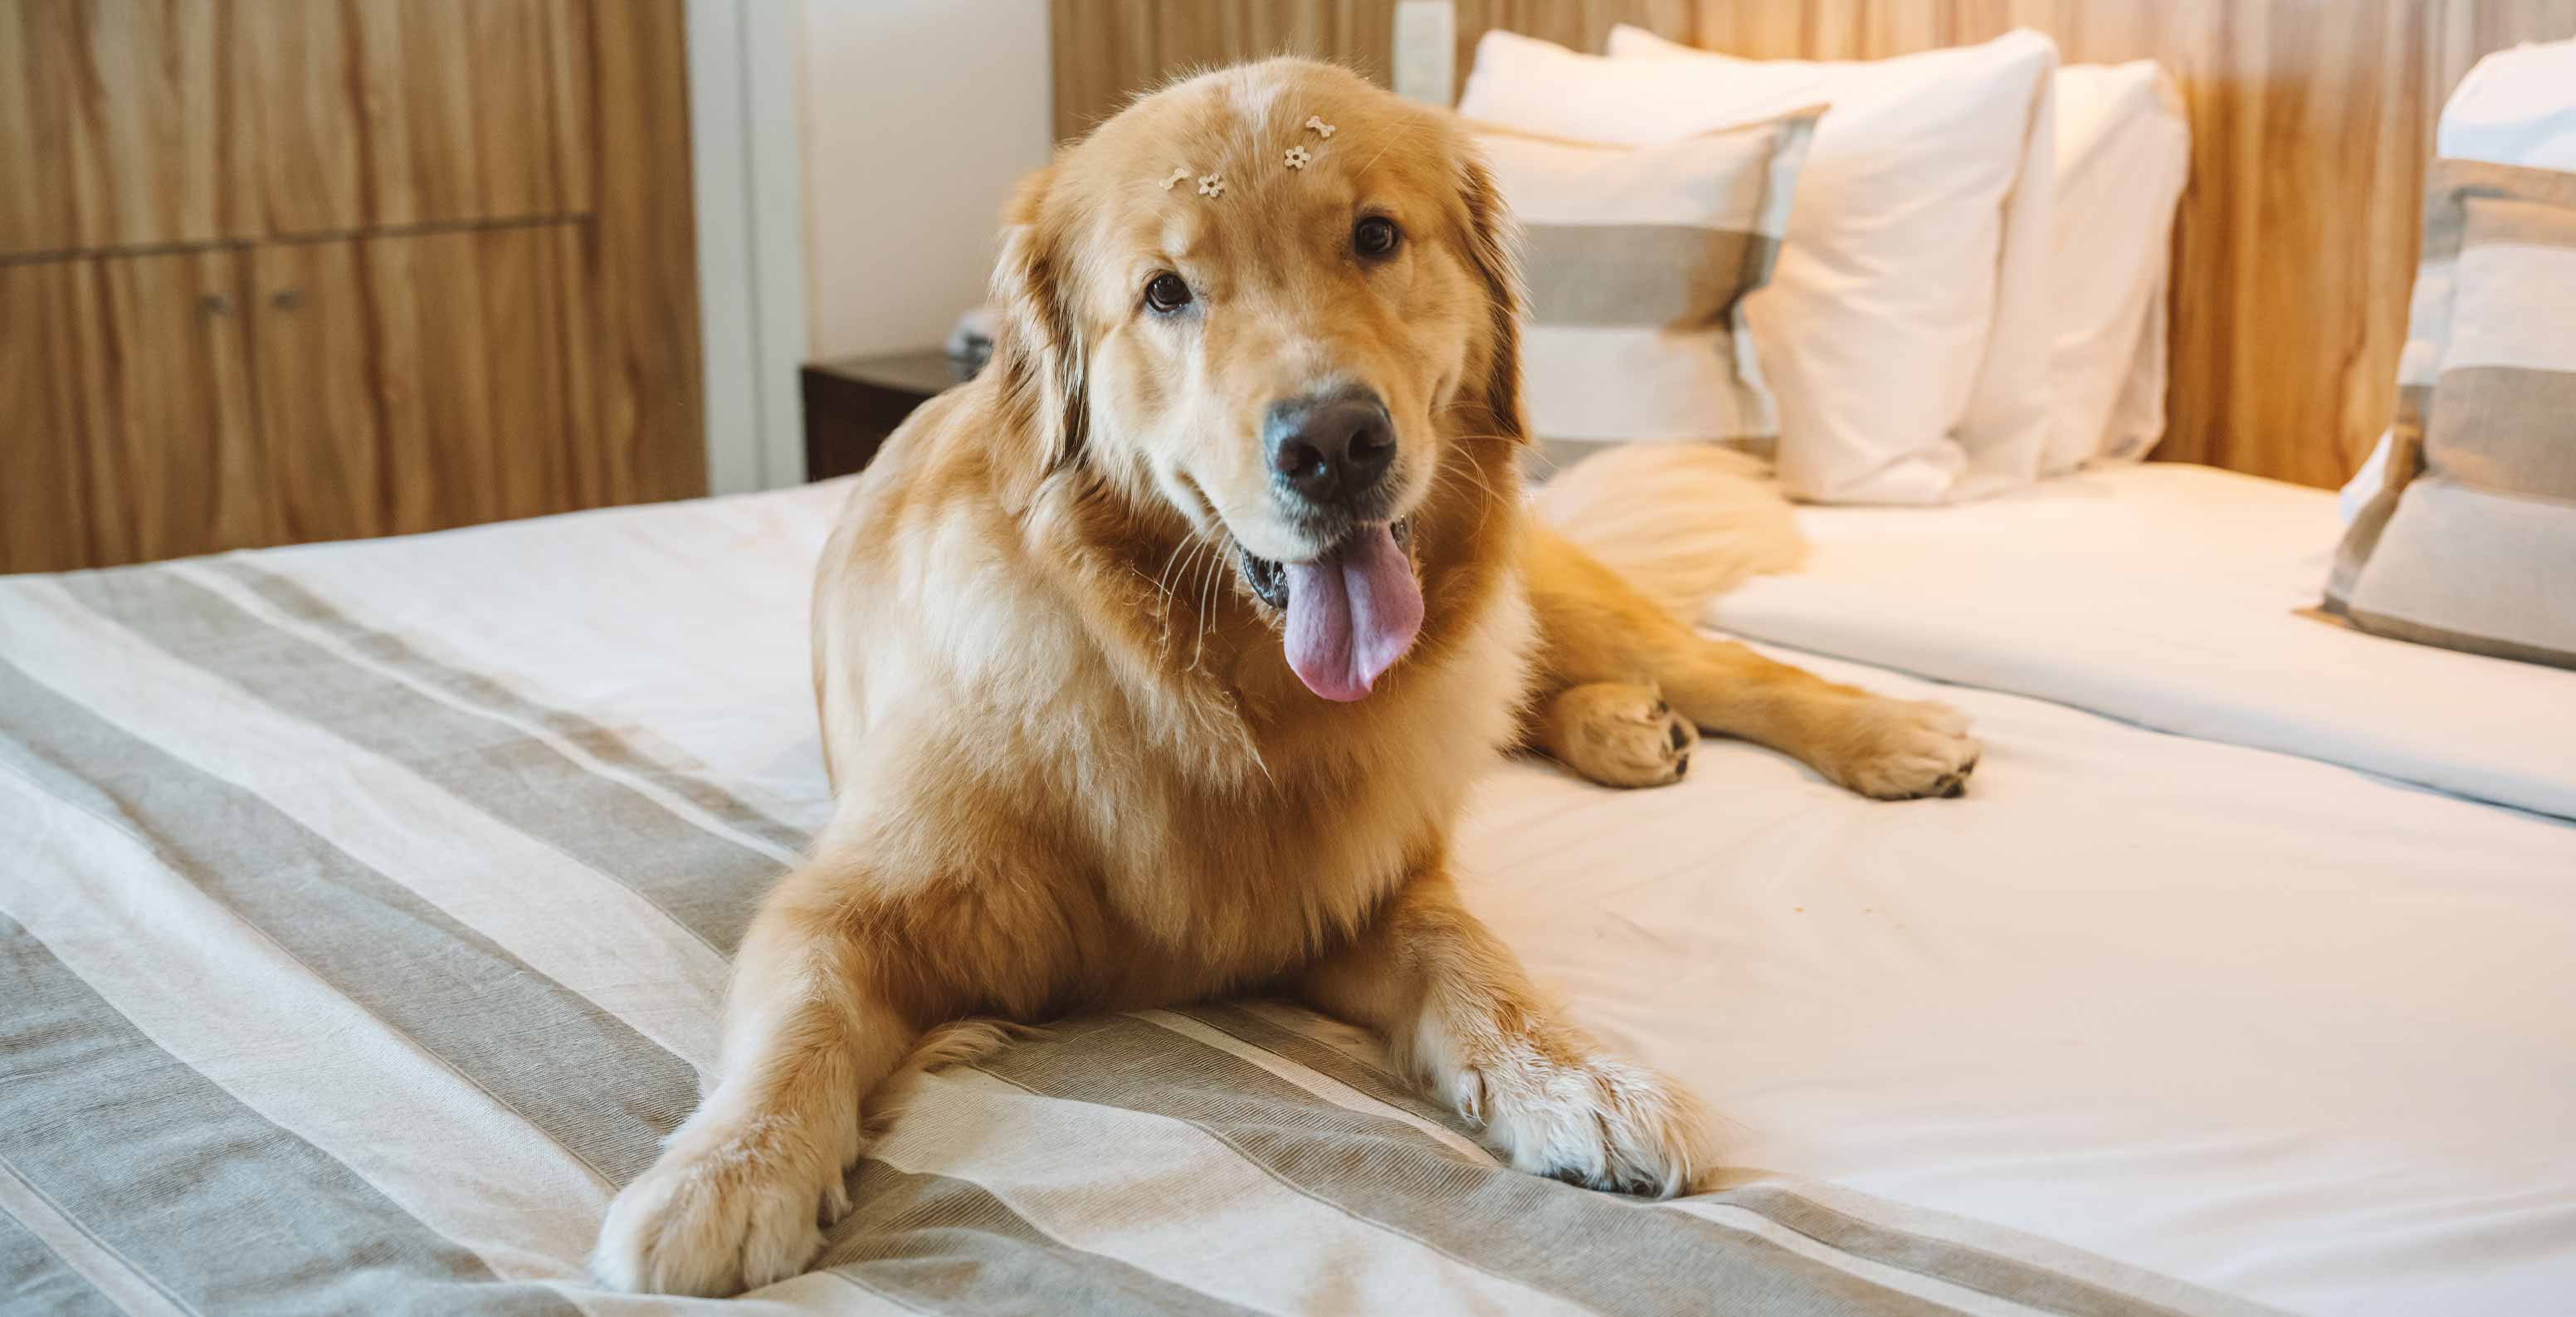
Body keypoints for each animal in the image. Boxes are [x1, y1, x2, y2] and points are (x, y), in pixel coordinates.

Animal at [593, 58, 1979, 1296]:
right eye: (1165, 291)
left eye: (1375, 236)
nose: (1336, 442)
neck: (1211, 697)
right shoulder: (850, 902)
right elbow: (799, 1020)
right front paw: (723, 1177)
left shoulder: (1376, 886)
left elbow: (1484, 973)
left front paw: (1576, 1081)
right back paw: (1632, 730)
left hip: (1562, 596)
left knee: (1725, 665)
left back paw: (1884, 731)